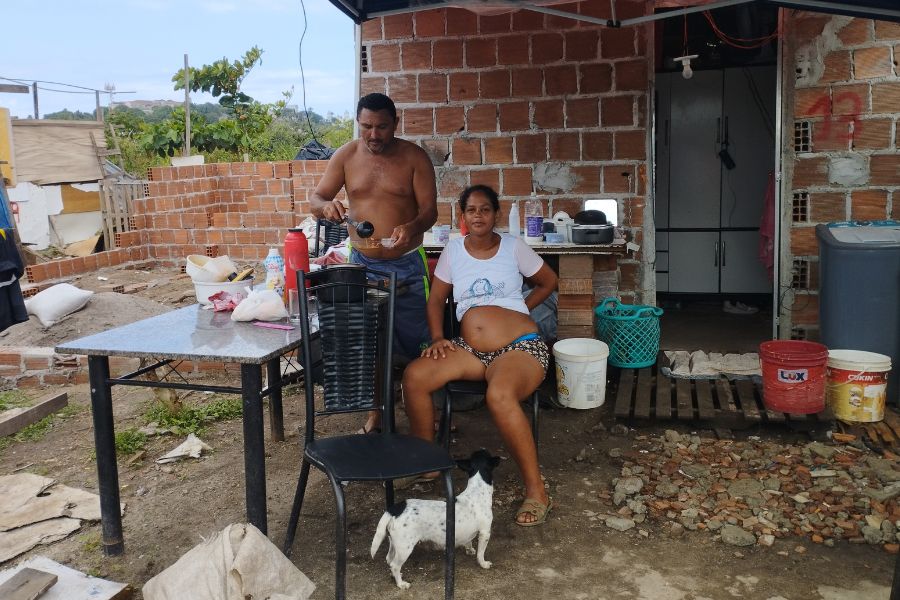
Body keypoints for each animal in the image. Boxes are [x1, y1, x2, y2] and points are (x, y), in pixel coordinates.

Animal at [370, 448, 502, 588]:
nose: (483, 448)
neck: (477, 491)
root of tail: (395, 509)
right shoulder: (485, 533)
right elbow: (481, 553)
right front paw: (483, 563)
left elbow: (468, 541)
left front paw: (469, 549)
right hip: (405, 547)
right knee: (395, 565)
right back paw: (401, 584)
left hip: (394, 543)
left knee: (389, 560)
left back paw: (395, 576)